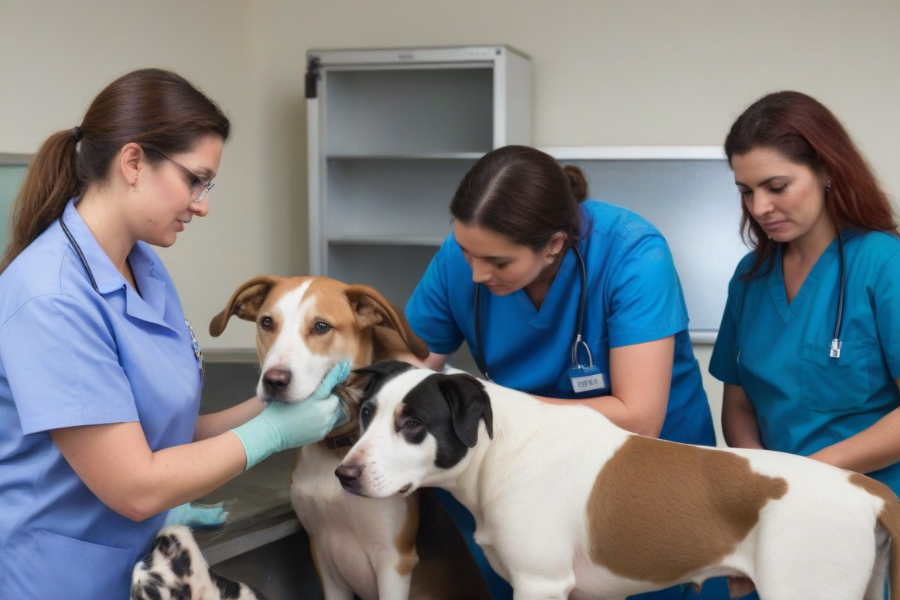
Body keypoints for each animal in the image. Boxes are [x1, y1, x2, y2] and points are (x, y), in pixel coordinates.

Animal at [207, 278, 492, 600]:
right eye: (267, 322)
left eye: (321, 326)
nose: (274, 381)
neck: (337, 446)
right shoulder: (322, 551)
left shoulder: (394, 562)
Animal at [336, 360, 900, 600]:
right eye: (366, 413)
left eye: (413, 424)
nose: (345, 474)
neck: (501, 450)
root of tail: (868, 491)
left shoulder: (540, 584)